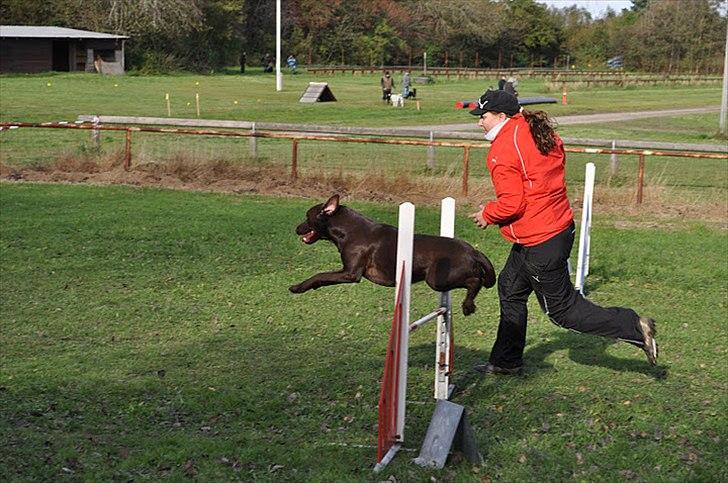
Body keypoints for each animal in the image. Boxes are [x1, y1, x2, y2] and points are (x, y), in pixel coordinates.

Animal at [288, 195, 494, 316]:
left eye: (307, 217)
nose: (296, 228)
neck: (347, 230)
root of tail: (473, 251)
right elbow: (324, 277)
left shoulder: (350, 273)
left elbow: (320, 275)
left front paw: (298, 287)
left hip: (436, 279)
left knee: (476, 280)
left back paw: (468, 305)